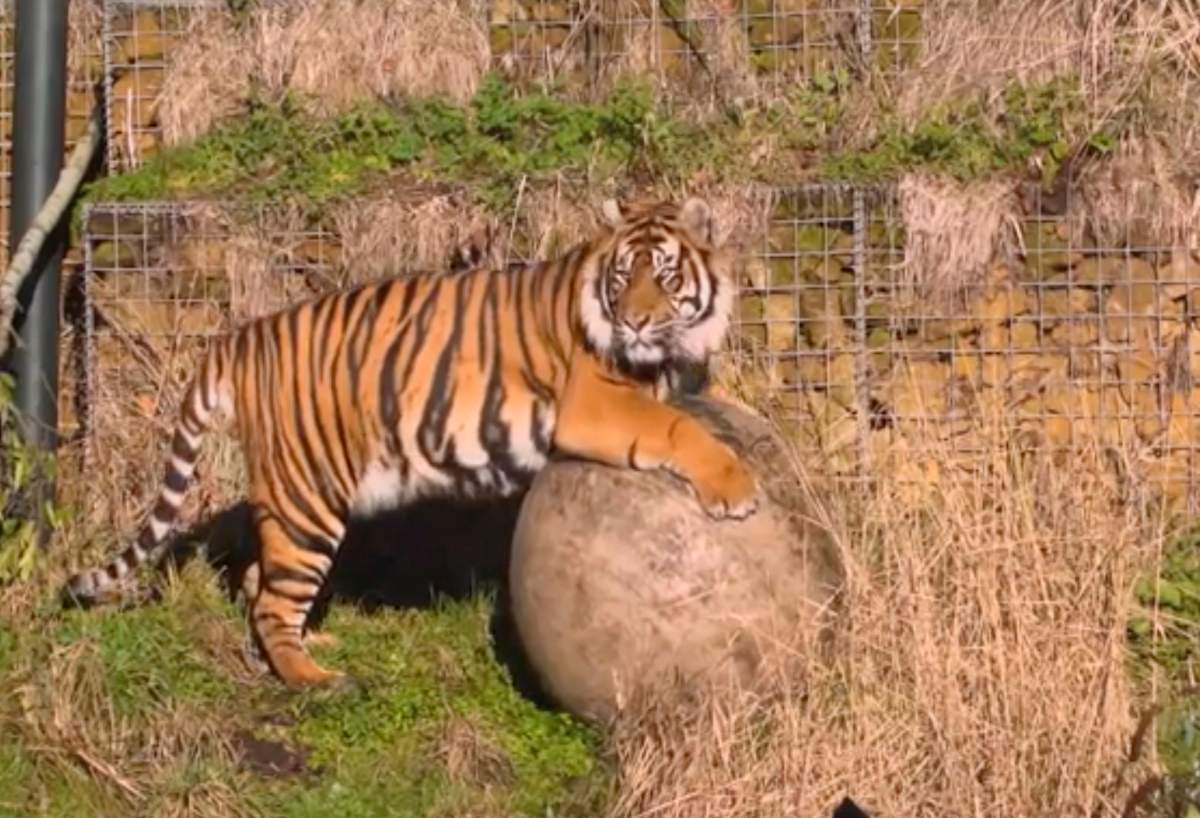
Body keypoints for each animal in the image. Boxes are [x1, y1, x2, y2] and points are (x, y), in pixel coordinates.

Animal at [64, 195, 759, 691]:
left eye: (665, 277)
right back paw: (315, 678)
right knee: (272, 600)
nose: (635, 322)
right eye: (622, 277)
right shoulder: (593, 404)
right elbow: (676, 427)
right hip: (308, 497)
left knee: (259, 581)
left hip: (291, 504)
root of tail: (237, 338)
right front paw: (736, 488)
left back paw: (311, 646)